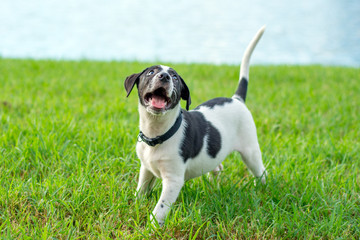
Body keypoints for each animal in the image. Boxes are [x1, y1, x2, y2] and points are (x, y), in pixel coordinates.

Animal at [124, 26, 268, 227]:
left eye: (175, 77)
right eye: (150, 72)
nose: (165, 76)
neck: (158, 134)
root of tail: (236, 99)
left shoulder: (173, 180)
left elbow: (160, 208)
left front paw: (151, 227)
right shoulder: (146, 168)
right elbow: (141, 190)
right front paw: (135, 206)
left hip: (250, 151)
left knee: (261, 172)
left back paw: (261, 190)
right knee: (217, 167)